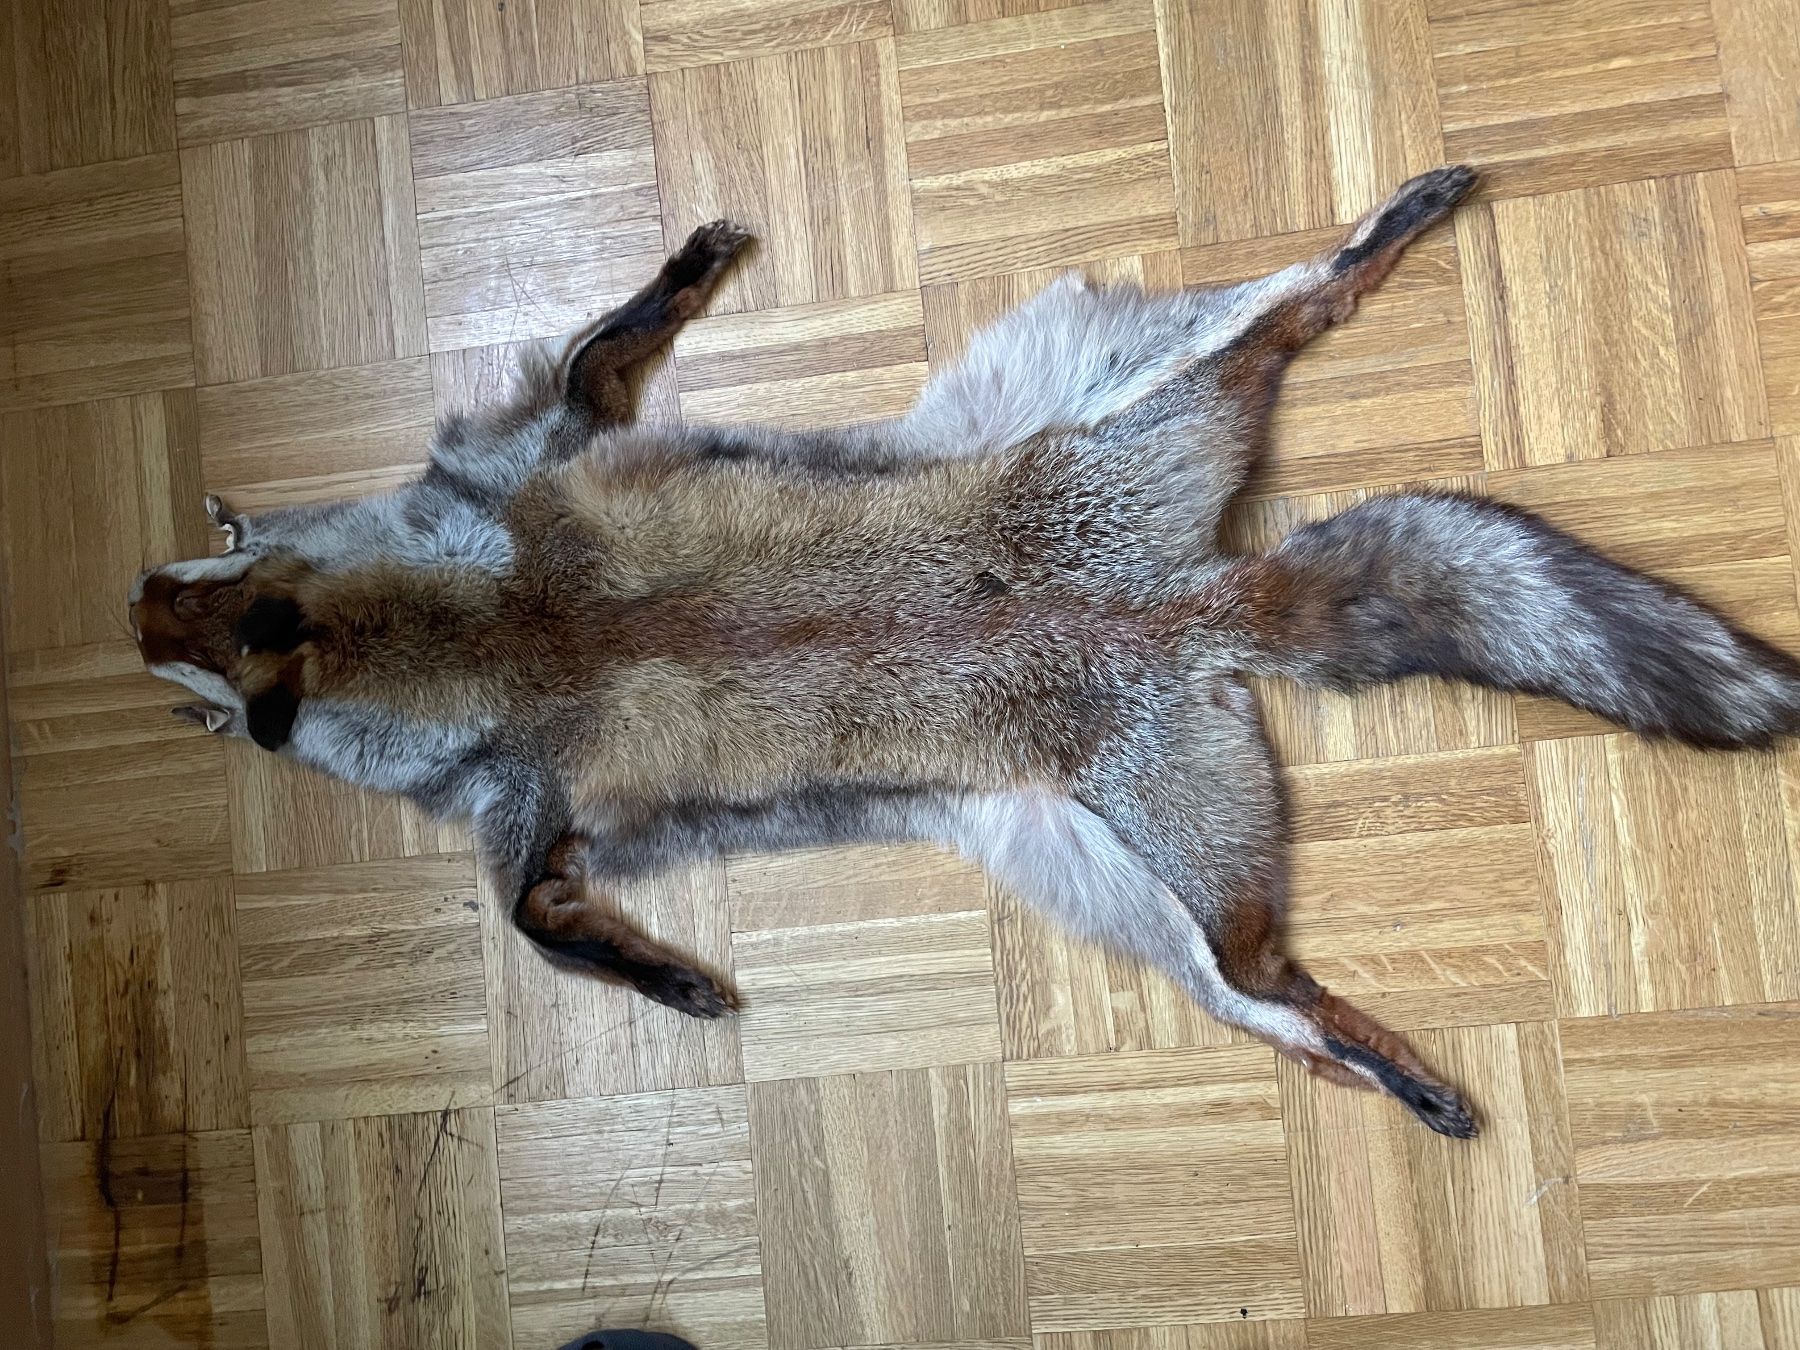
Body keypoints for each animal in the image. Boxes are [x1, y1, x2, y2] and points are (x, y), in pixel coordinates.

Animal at [129, 166, 1800, 1138]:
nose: (133, 605)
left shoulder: (530, 646)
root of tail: (1209, 606)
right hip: (1155, 836)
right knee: (1296, 312)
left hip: (1155, 874)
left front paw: (668, 987)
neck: (494, 626)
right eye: (202, 568)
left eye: (213, 625)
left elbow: (548, 929)